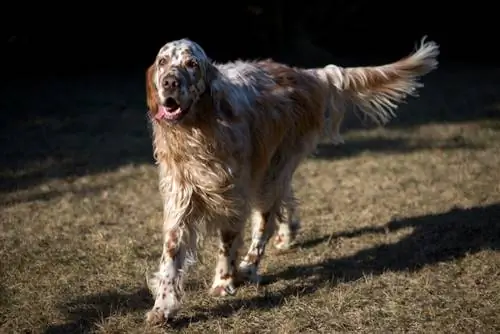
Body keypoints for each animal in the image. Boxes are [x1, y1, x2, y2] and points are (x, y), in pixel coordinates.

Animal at [142, 37, 438, 324]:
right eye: (163, 62)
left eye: (192, 64)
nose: (170, 82)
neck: (198, 130)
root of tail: (302, 74)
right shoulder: (181, 199)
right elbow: (171, 254)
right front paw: (162, 307)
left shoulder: (234, 198)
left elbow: (227, 245)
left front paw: (223, 283)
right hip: (271, 174)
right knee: (283, 200)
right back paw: (286, 234)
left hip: (271, 173)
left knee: (265, 223)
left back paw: (250, 266)